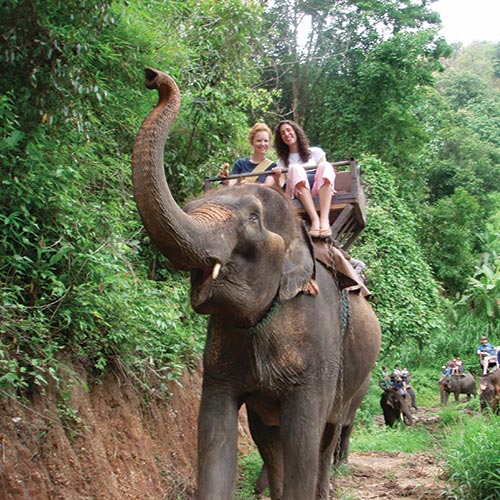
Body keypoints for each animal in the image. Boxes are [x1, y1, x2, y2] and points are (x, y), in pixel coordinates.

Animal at [131, 69, 380, 500]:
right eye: (191, 206)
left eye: (251, 219)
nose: (152, 76)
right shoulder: (220, 355)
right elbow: (215, 428)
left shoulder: (319, 344)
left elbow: (303, 435)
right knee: (269, 436)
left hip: (357, 378)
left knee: (330, 432)